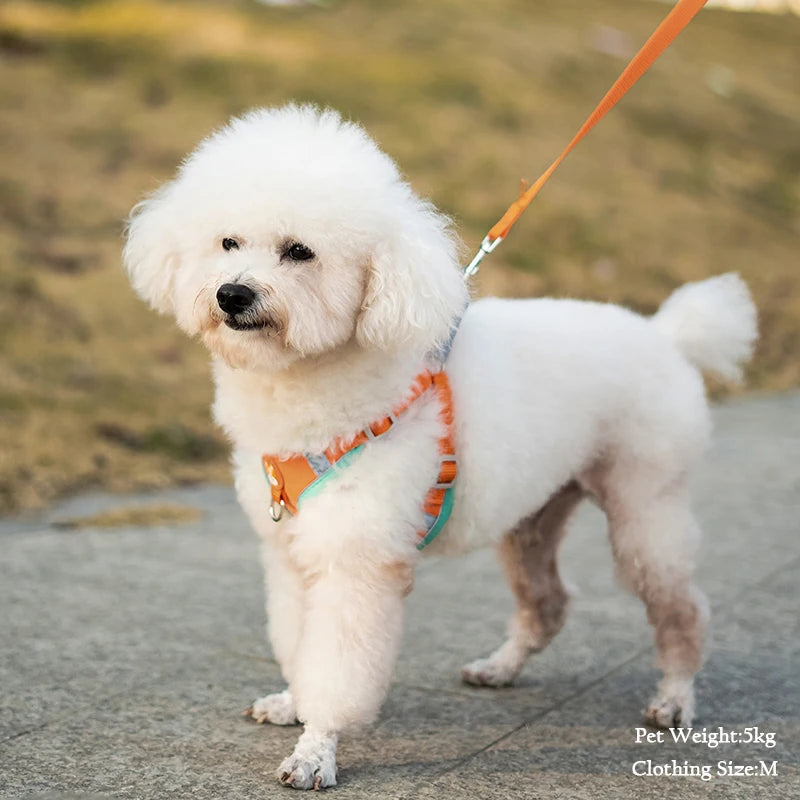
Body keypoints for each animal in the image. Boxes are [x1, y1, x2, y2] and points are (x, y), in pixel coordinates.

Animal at [123, 104, 756, 788]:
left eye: (300, 252)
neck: (316, 392)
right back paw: (500, 668)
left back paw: (675, 697)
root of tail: (667, 335)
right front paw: (295, 703)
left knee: (682, 609)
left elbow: (336, 665)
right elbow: (299, 643)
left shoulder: (356, 560)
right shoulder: (292, 554)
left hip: (646, 502)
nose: (232, 294)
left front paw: (316, 749)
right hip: (533, 517)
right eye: (227, 243)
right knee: (549, 603)